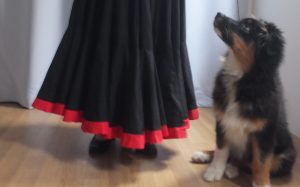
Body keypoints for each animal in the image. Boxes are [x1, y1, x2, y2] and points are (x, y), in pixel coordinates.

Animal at [191, 13, 296, 187]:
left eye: (246, 27)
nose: (218, 14)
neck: (243, 77)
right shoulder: (222, 119)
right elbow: (221, 148)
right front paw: (214, 170)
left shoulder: (264, 132)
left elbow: (261, 162)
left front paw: (261, 184)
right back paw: (203, 155)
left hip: (285, 158)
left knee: (248, 163)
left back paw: (232, 167)